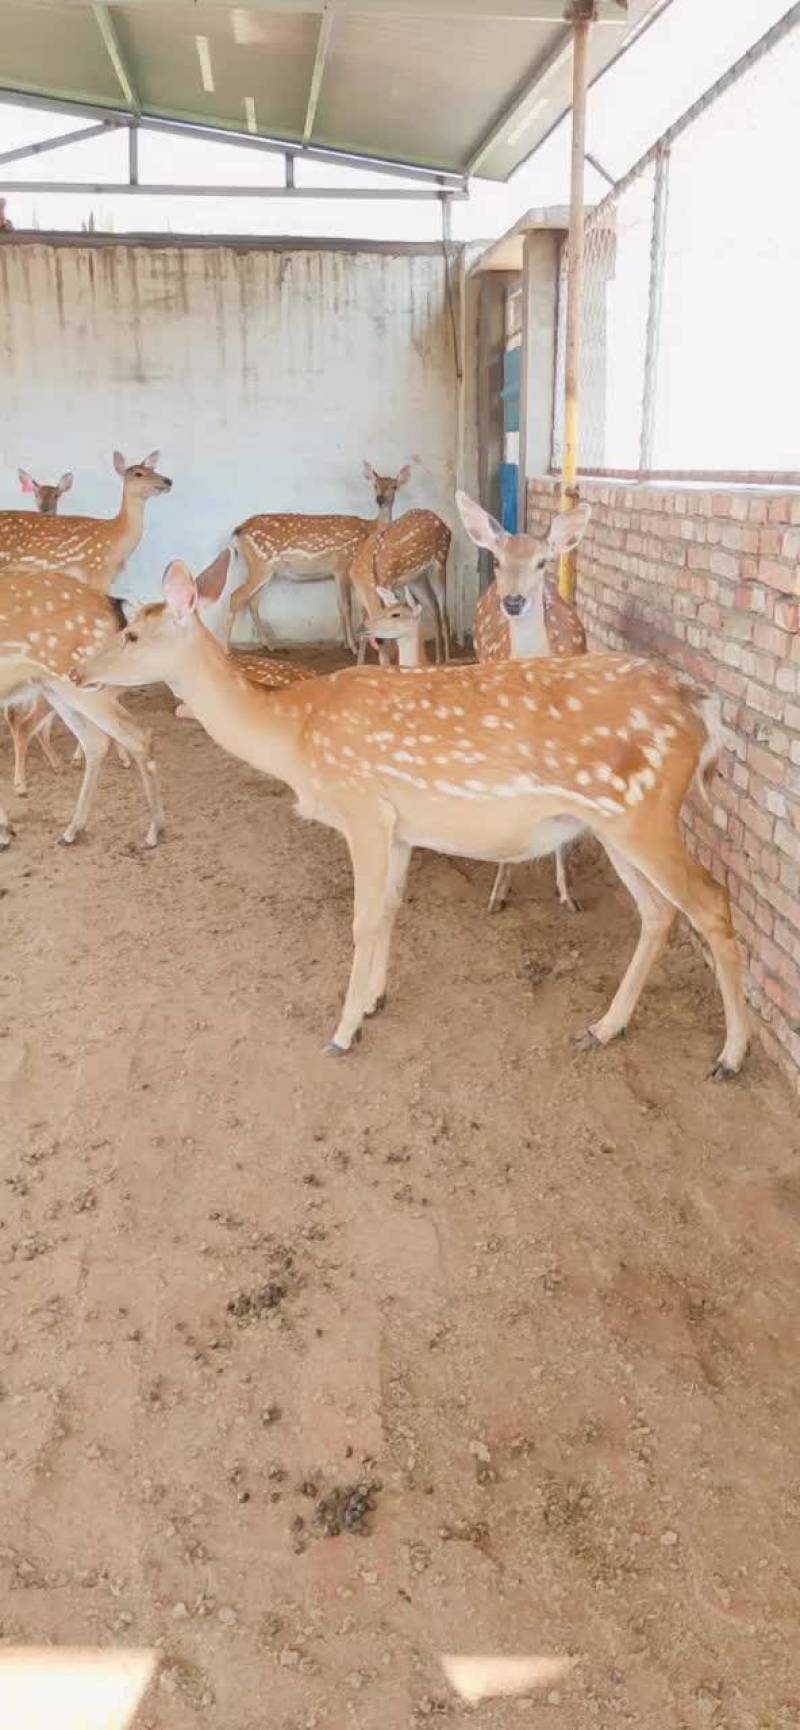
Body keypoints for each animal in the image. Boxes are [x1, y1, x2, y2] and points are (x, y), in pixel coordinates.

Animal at [0, 569, 164, 850]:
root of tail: (111, 604)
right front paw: (5, 831)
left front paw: (5, 832)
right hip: (55, 686)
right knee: (96, 741)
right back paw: (73, 830)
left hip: (76, 680)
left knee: (136, 735)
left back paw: (154, 831)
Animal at [73, 549, 749, 1083]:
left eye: (131, 636)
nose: (79, 670)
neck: (294, 738)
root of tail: (702, 712)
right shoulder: (399, 827)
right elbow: (392, 910)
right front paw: (374, 1001)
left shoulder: (362, 809)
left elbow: (362, 920)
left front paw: (343, 1030)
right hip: (611, 823)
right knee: (659, 912)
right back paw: (605, 1027)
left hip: (644, 813)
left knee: (712, 902)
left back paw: (730, 1056)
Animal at [226, 460, 411, 655]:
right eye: (375, 485)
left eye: (394, 486)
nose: (380, 499)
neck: (370, 531)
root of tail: (239, 530)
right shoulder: (343, 565)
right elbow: (347, 606)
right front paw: (353, 647)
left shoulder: (338, 573)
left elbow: (342, 606)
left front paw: (346, 643)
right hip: (259, 565)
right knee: (236, 597)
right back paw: (227, 648)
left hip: (266, 570)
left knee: (252, 601)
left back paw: (269, 645)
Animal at [351, 509, 451, 665]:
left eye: (394, 616)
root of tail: (440, 520)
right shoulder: (359, 595)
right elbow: (362, 638)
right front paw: (359, 665)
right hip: (416, 579)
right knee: (433, 606)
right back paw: (438, 658)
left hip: (440, 561)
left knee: (442, 609)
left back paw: (446, 659)